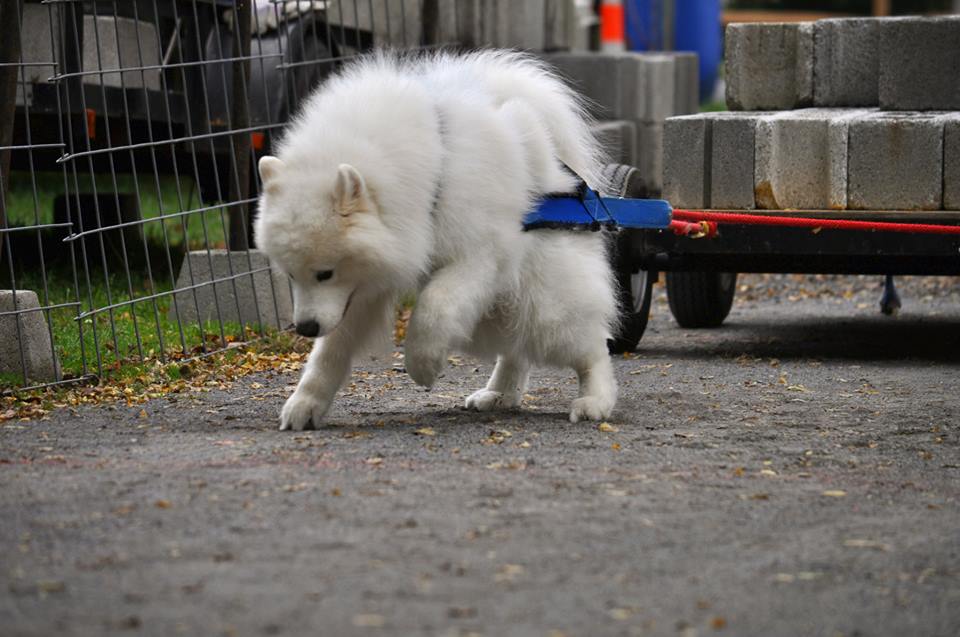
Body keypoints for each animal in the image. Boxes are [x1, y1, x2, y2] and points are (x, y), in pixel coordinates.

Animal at [253, 48, 616, 428]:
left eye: (325, 273)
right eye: (291, 275)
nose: (306, 328)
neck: (434, 165)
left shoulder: (479, 256)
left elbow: (433, 307)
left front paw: (422, 364)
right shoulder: (363, 286)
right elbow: (329, 352)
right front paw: (305, 404)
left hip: (544, 305)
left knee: (592, 349)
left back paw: (594, 400)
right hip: (497, 313)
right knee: (516, 350)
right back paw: (499, 395)